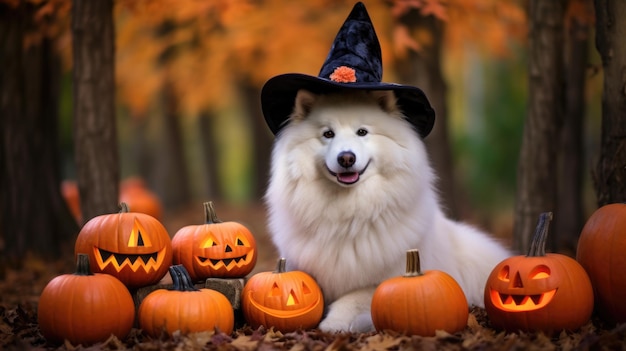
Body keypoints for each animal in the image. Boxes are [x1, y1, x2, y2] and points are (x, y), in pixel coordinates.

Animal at [264, 88, 512, 332]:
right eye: (328, 134)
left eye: (362, 132)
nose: (346, 158)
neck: (348, 214)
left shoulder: (387, 280)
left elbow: (355, 296)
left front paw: (335, 323)